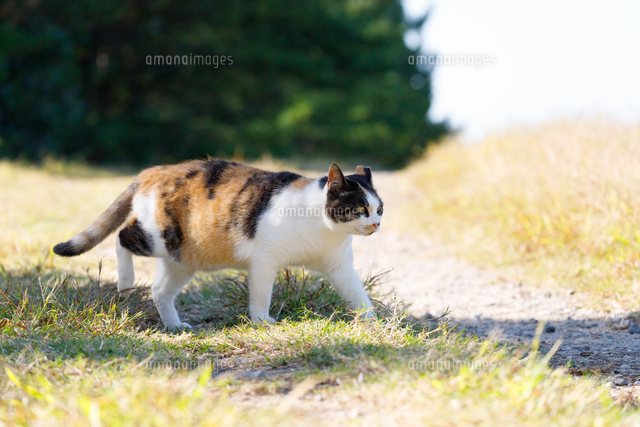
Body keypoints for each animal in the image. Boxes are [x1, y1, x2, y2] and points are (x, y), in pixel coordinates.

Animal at [52, 159, 382, 330]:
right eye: (360, 209)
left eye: (379, 209)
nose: (376, 225)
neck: (322, 226)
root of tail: (152, 171)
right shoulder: (265, 261)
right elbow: (260, 295)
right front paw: (261, 321)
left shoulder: (339, 267)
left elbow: (358, 296)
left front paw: (373, 322)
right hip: (158, 238)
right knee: (122, 237)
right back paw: (125, 282)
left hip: (181, 259)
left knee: (159, 290)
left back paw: (173, 325)